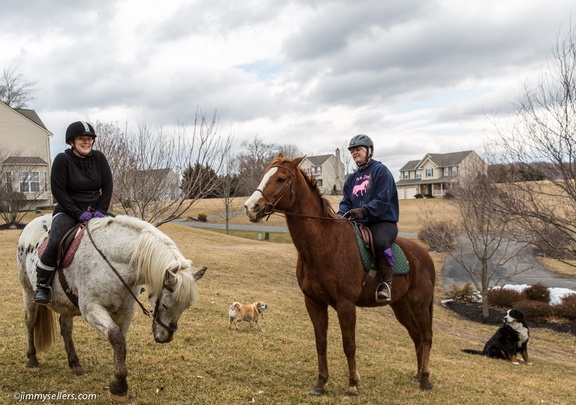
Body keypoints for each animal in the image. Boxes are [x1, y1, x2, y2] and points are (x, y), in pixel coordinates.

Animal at [244, 153, 436, 396]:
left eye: (280, 178)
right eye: (264, 176)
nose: (251, 207)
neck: (325, 243)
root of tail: (425, 255)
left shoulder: (346, 305)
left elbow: (349, 345)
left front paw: (352, 385)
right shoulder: (314, 303)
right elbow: (321, 342)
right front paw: (320, 383)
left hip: (419, 304)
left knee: (426, 337)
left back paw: (426, 379)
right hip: (400, 306)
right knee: (416, 336)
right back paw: (418, 375)